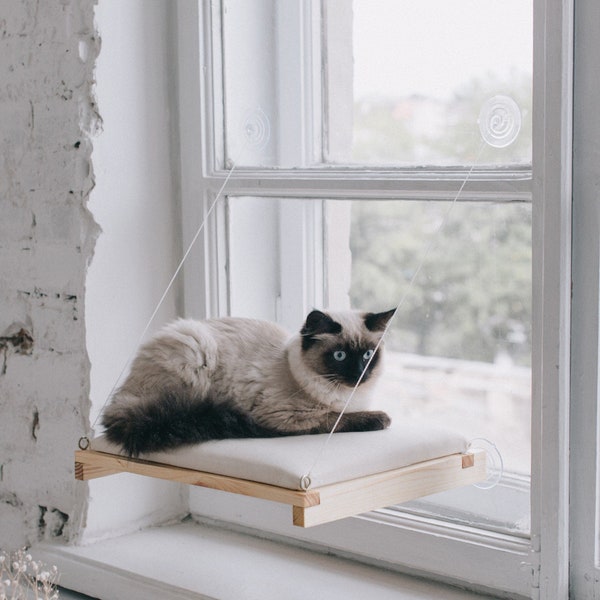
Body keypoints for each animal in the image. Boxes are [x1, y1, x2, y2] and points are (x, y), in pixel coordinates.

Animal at [101, 308, 396, 458]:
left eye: (368, 355)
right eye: (340, 356)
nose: (359, 374)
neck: (348, 396)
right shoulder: (285, 416)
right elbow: (336, 419)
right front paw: (380, 419)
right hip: (197, 349)